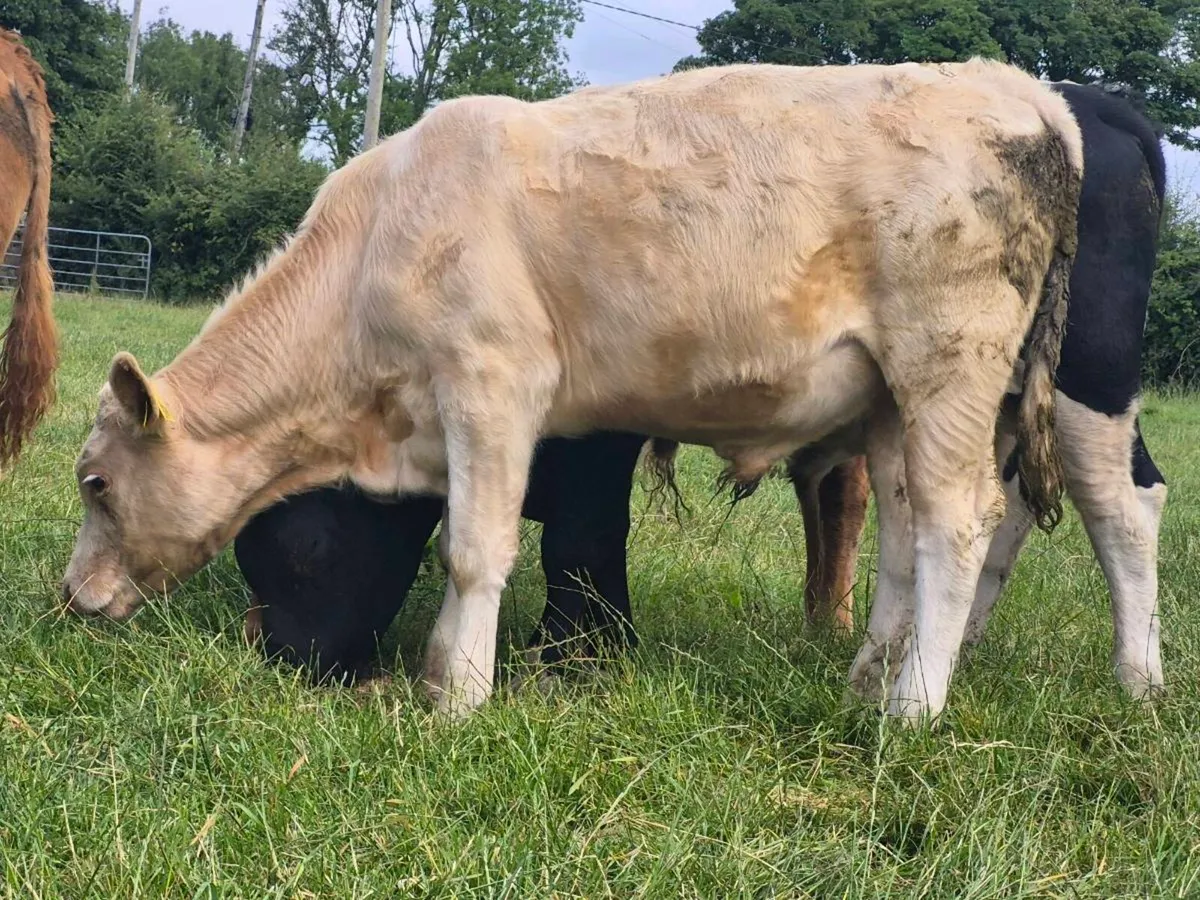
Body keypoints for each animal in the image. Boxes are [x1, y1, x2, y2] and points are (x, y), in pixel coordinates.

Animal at [62, 60, 1082, 725]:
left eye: (95, 483)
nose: (71, 597)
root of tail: (1021, 89)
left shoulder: (493, 381)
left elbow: (476, 550)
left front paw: (457, 698)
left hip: (950, 362)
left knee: (956, 525)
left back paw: (911, 712)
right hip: (889, 403)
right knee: (905, 536)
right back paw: (867, 680)